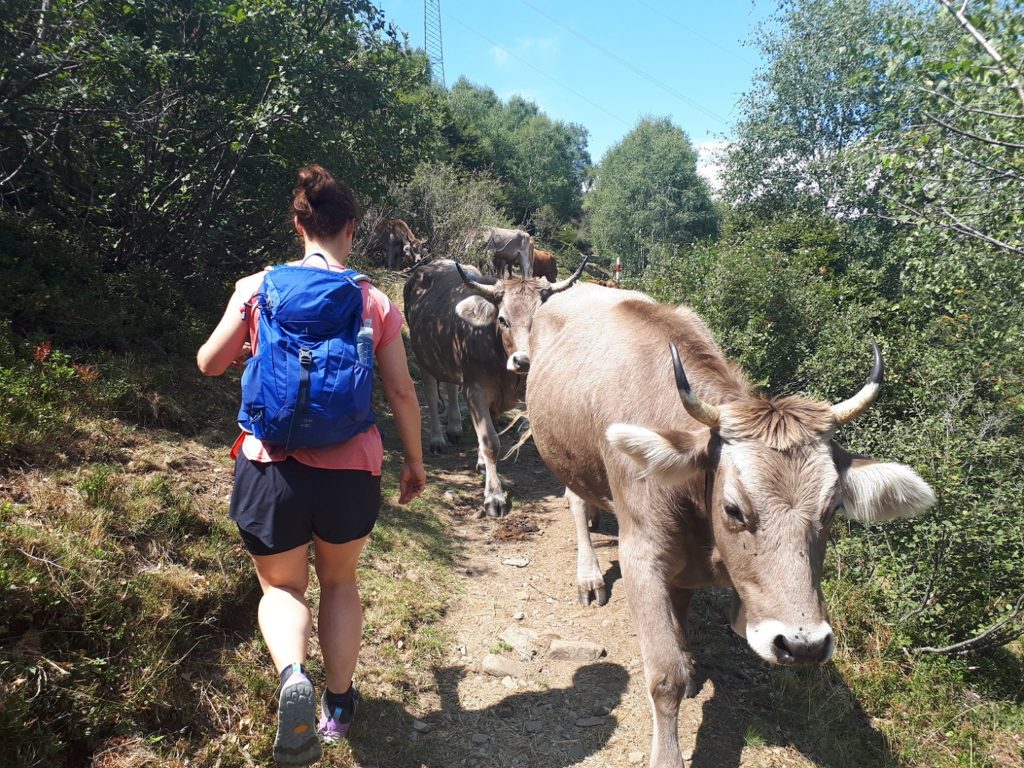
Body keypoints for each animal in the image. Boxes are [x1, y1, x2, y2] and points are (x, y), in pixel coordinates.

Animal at [403, 257, 589, 518]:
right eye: (502, 319)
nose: (524, 361)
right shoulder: (476, 391)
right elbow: (490, 441)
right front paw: (494, 496)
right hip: (423, 355)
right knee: (431, 391)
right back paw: (438, 438)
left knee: (450, 386)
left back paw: (455, 427)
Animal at [528, 282, 937, 768]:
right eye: (734, 509)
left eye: (833, 509)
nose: (802, 644)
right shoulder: (640, 554)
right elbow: (664, 675)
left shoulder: (684, 567)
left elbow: (682, 625)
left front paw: (689, 662)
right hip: (566, 456)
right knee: (575, 501)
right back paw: (588, 575)